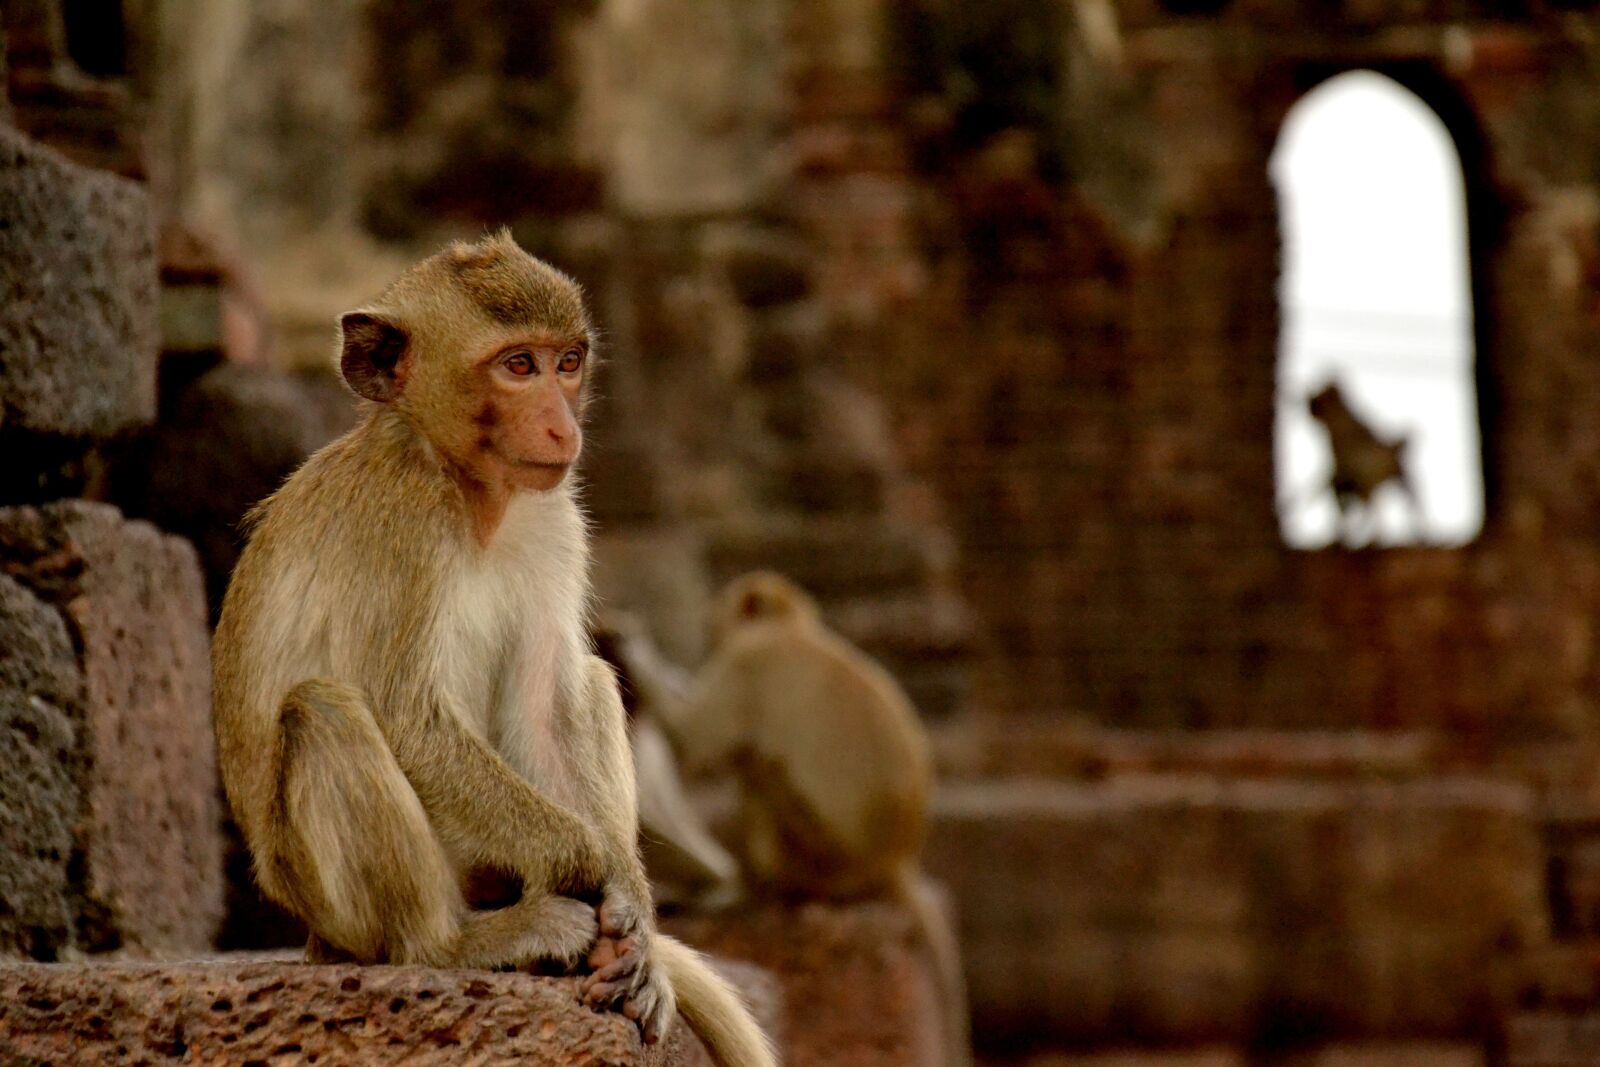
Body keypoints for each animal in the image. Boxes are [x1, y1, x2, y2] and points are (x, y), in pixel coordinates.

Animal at [663, 571, 972, 1067]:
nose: (709, 632)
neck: (791, 628)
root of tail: (894, 862)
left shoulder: (747, 663)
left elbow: (693, 745)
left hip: (814, 853)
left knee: (760, 769)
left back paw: (754, 894)